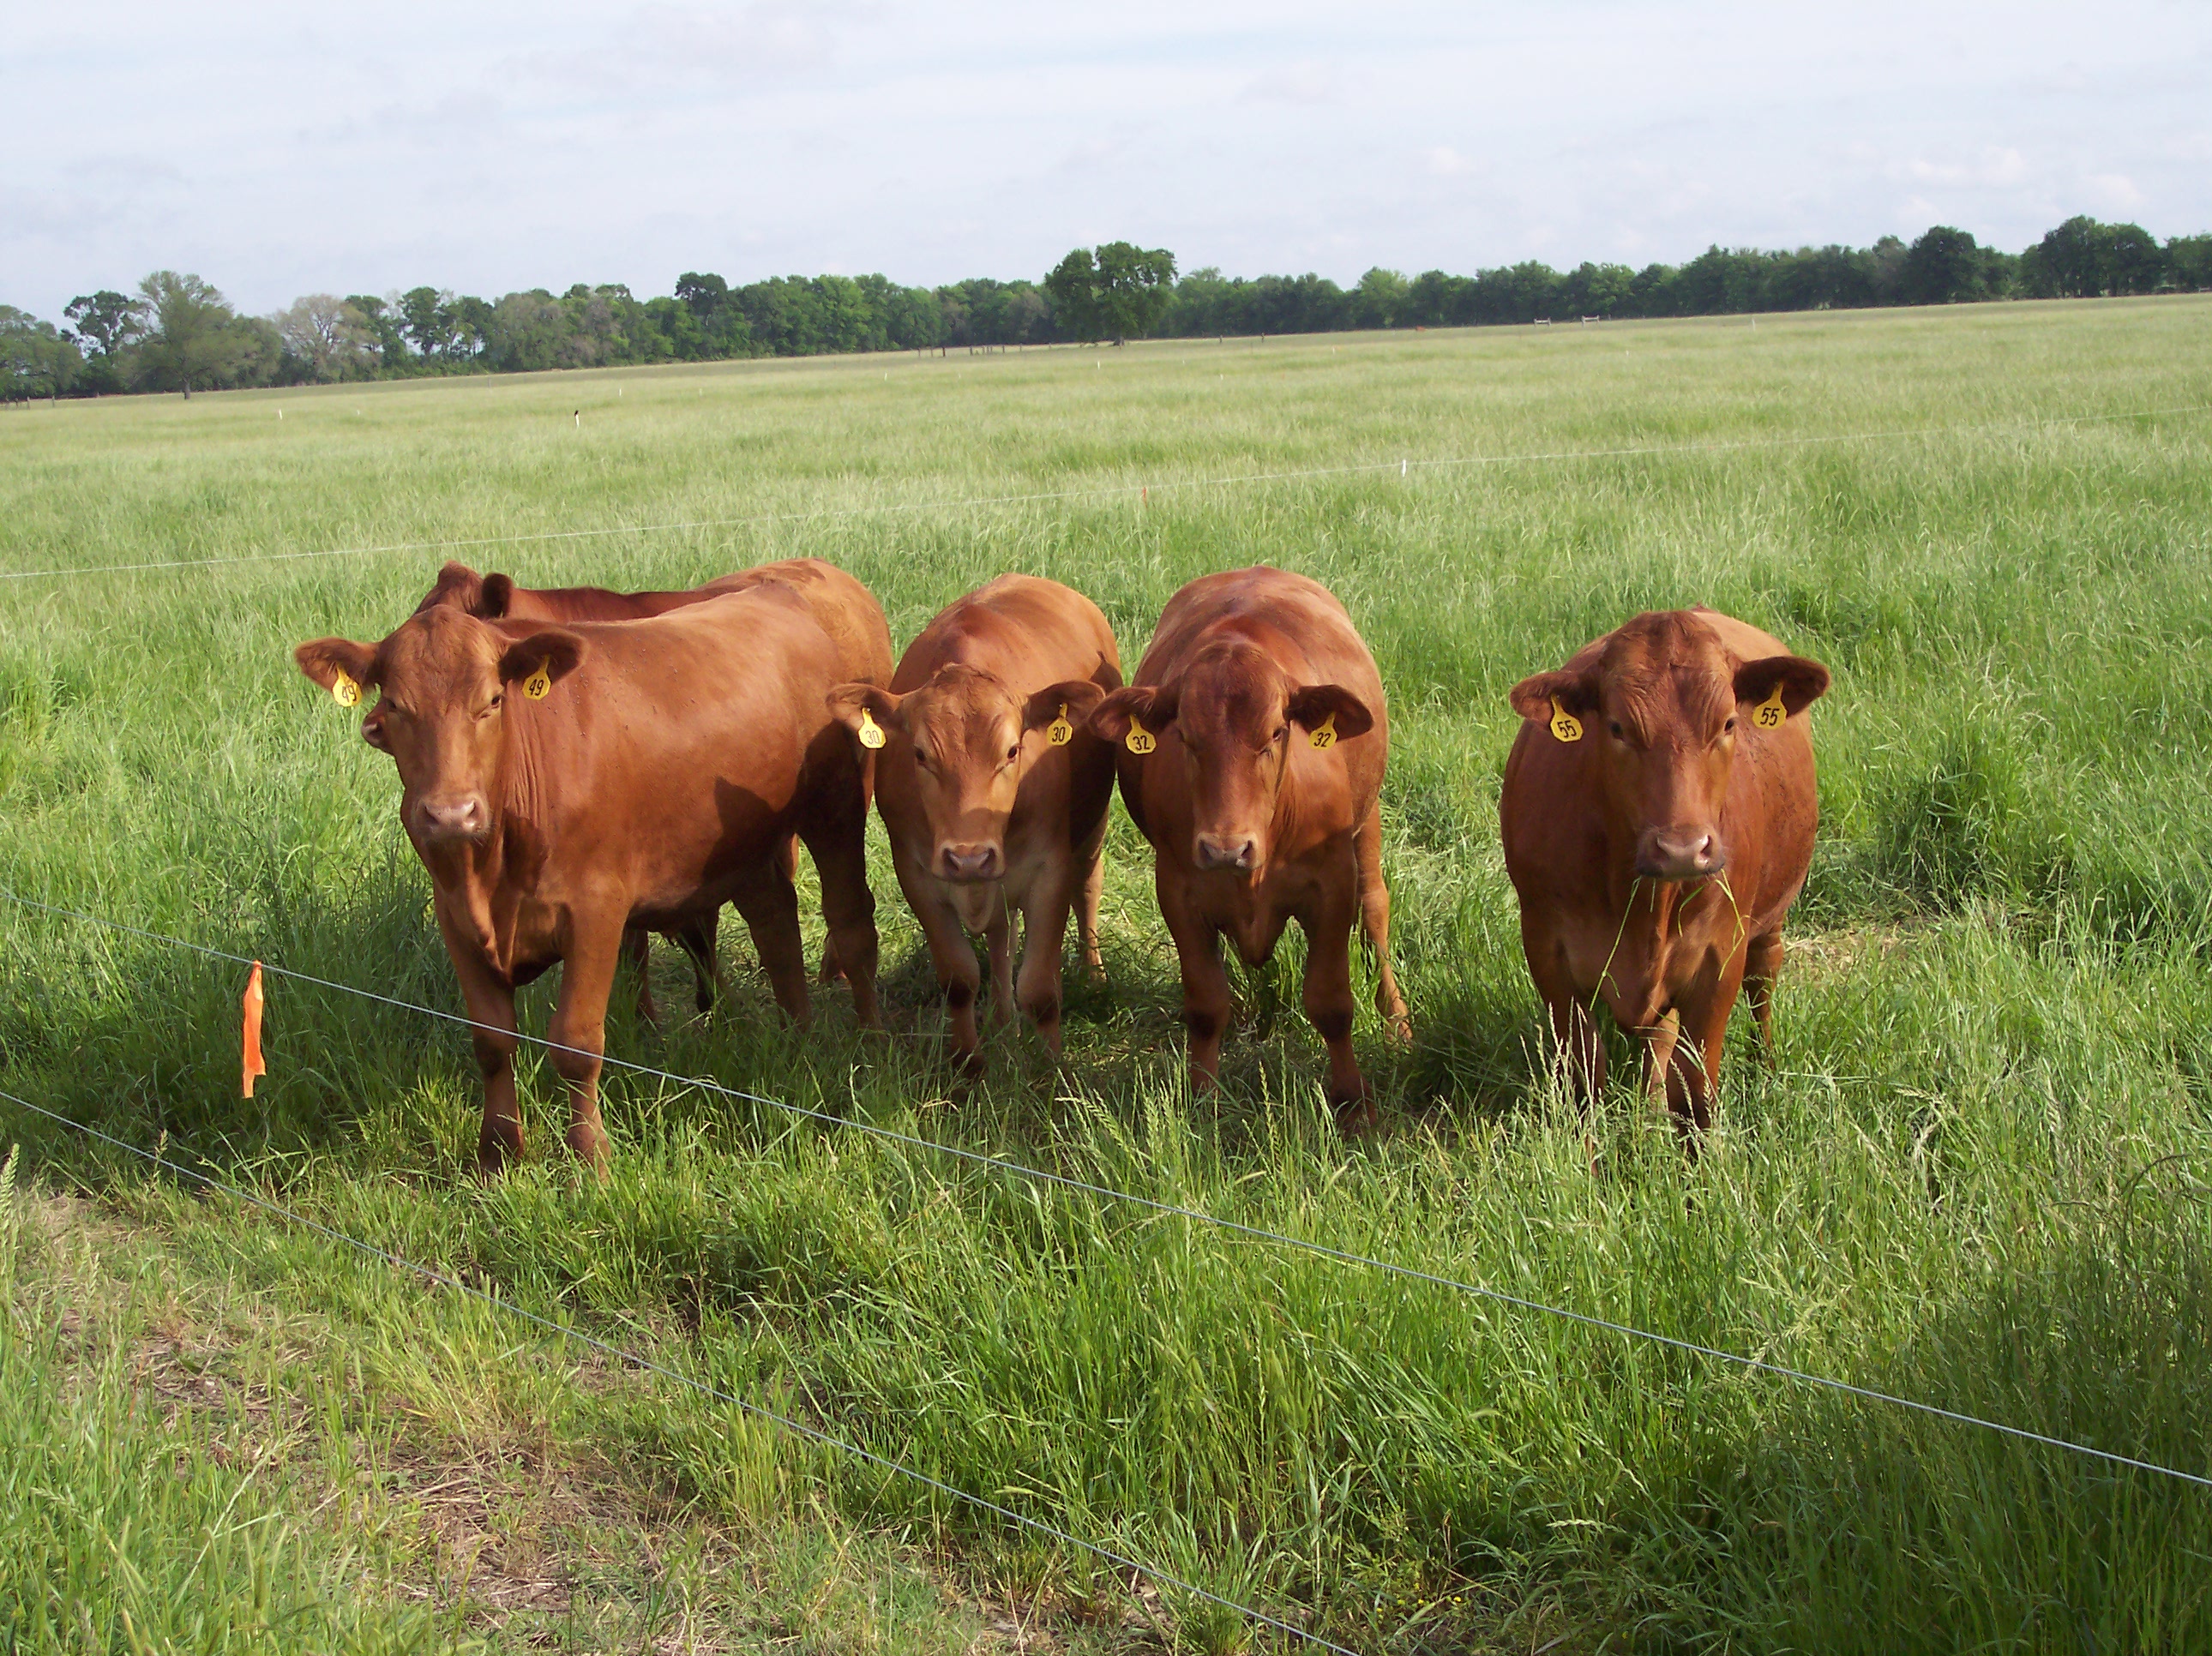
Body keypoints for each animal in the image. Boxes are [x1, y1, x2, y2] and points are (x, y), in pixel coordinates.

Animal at [827, 576, 1120, 1068]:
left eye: (1013, 751)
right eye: (919, 754)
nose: (968, 858)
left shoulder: (1050, 872)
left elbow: (1040, 989)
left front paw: (1051, 1070)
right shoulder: (918, 876)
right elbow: (959, 979)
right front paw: (968, 1063)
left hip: (1092, 827)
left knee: (1088, 888)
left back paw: (1093, 973)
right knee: (1002, 938)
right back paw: (1002, 1021)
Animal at [1089, 567, 1410, 1129]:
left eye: (1277, 733)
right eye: (1185, 736)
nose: (1226, 849)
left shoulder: (1331, 884)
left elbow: (1331, 1001)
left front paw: (1354, 1101)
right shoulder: (1178, 888)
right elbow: (1205, 1002)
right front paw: (1202, 1097)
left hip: (1367, 822)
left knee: (1375, 909)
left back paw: (1396, 1019)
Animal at [1499, 607, 1830, 1147]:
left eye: (1728, 723)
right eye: (1616, 727)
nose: (1682, 849)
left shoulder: (1721, 956)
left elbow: (1695, 1093)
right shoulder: (1547, 950)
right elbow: (1585, 1081)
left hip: (1771, 921)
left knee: (1764, 981)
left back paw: (1768, 1068)